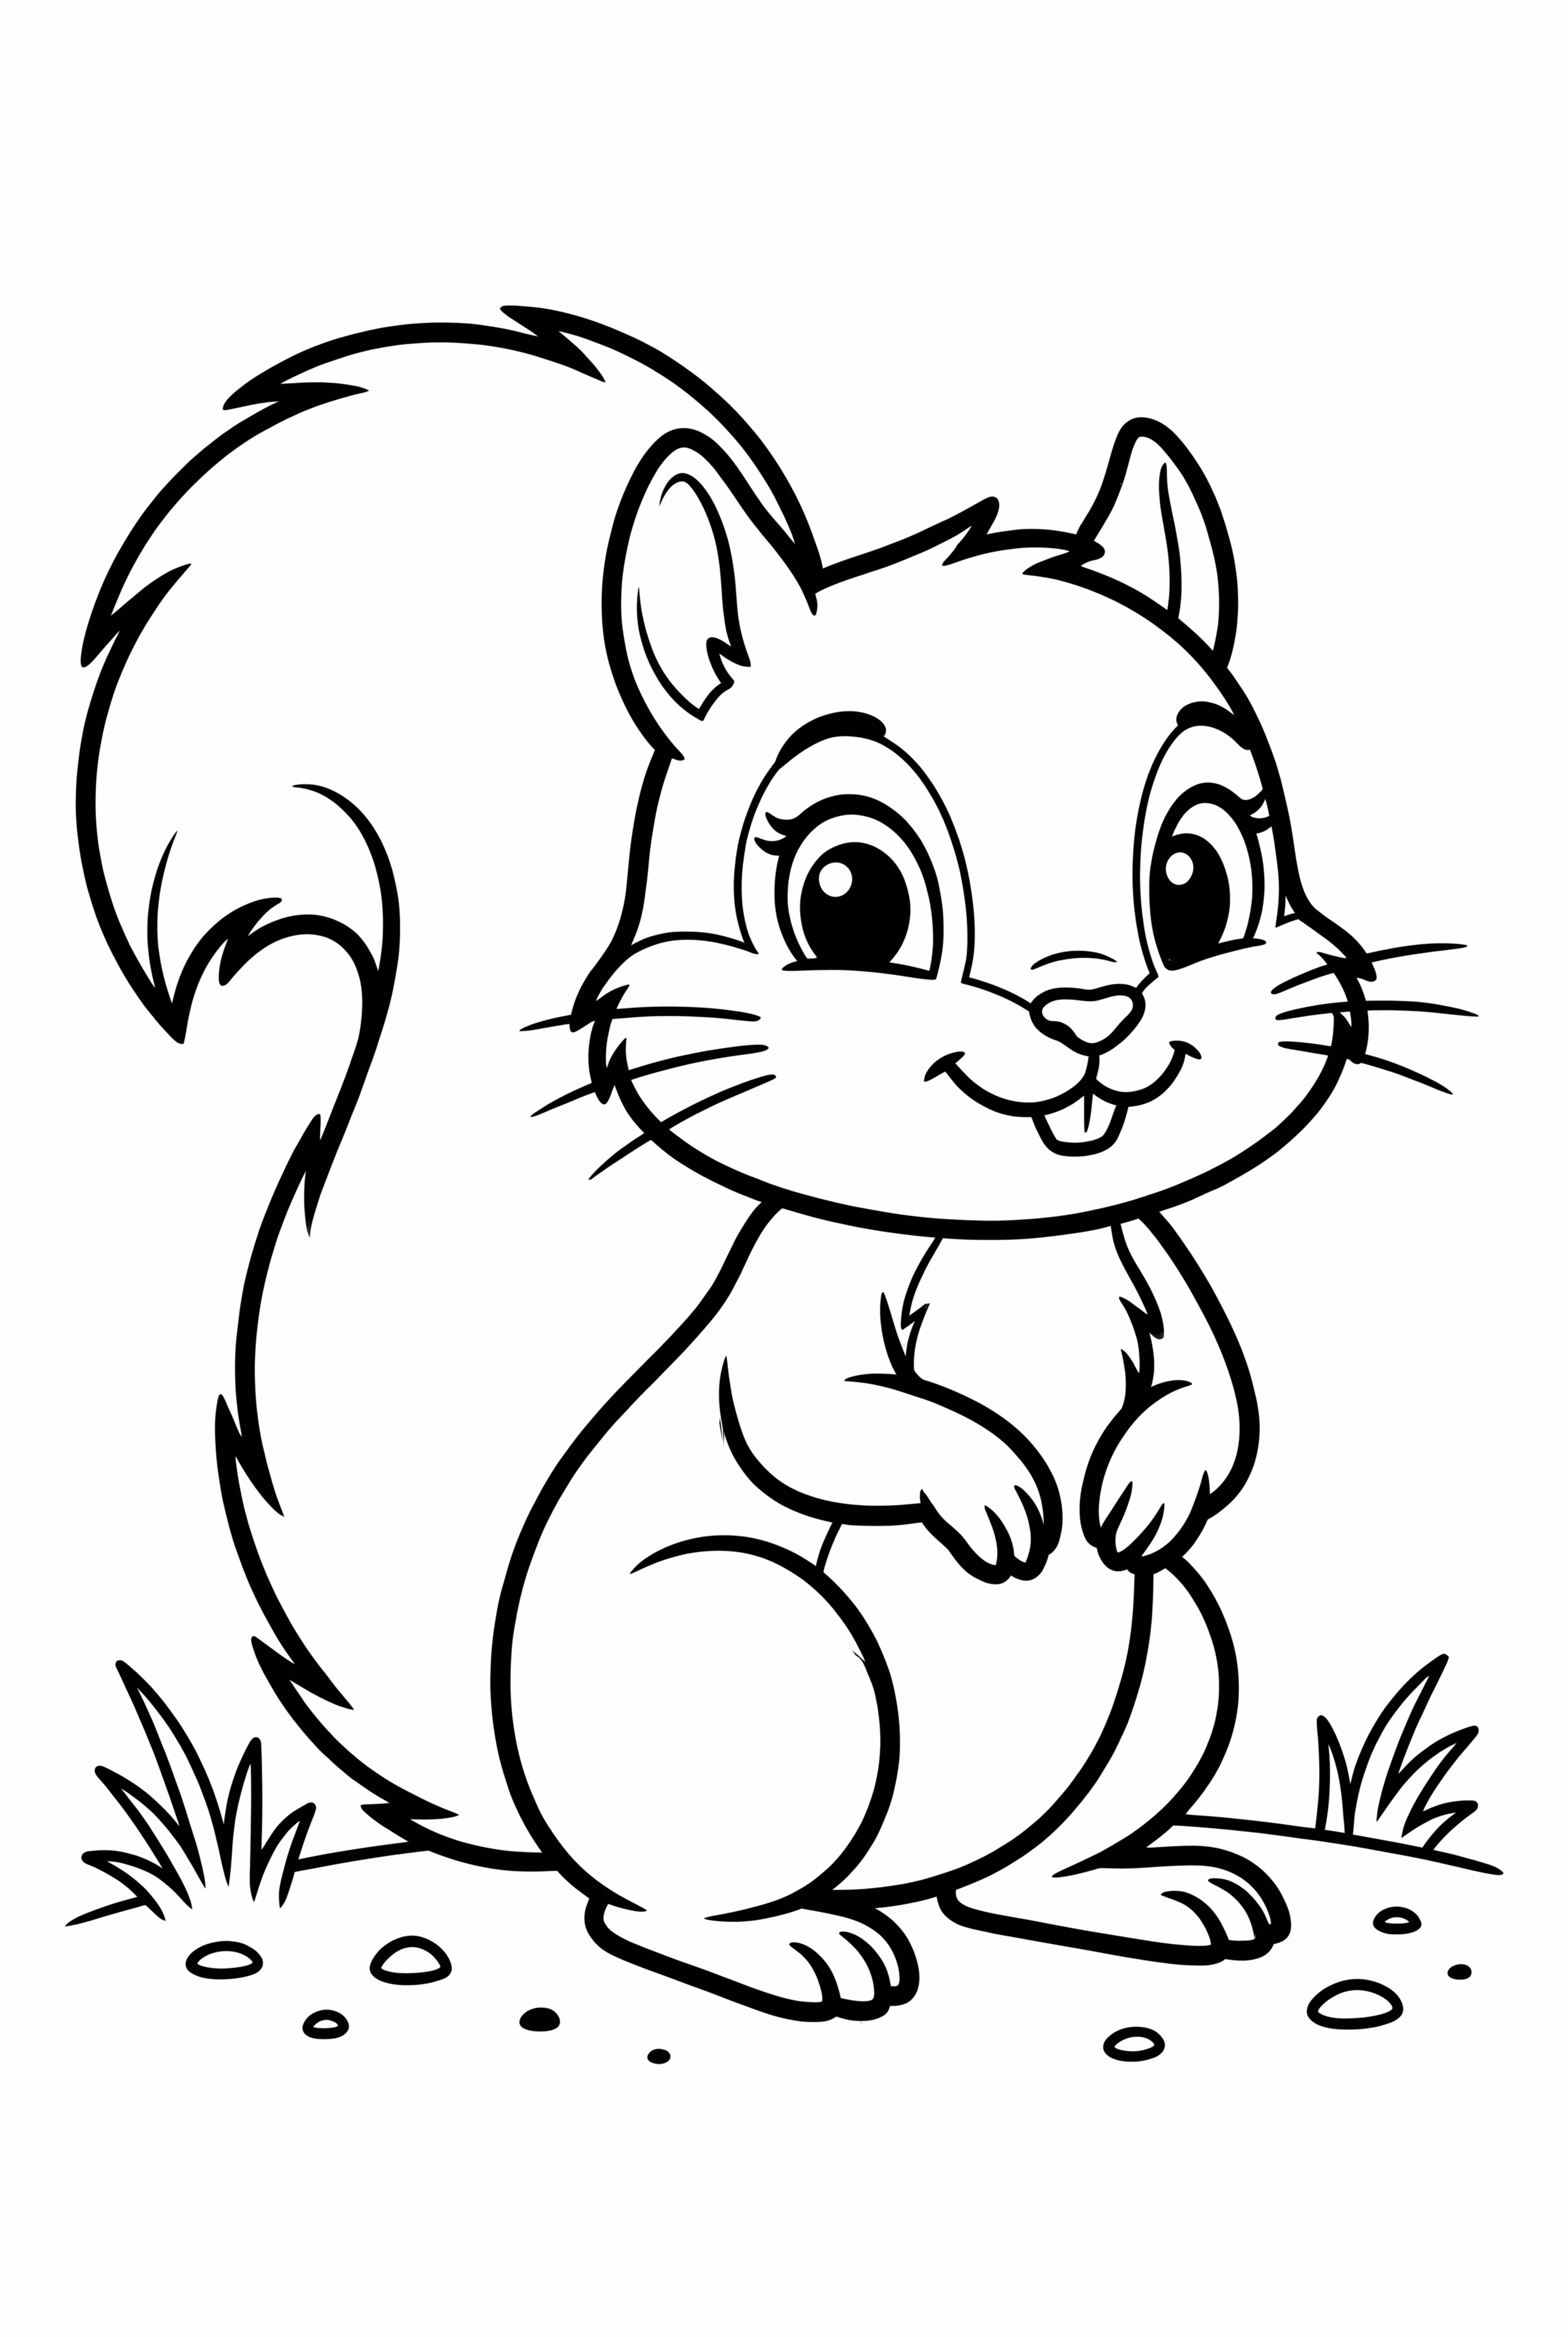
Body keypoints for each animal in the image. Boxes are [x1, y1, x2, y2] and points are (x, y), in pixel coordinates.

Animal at [79, 308, 1370, 2019]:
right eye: (849, 896)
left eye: (1201, 880)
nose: (1091, 1011)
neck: (1003, 1240)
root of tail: (533, 1791)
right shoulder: (797, 1301)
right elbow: (811, 1414)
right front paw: (995, 1489)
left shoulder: (1148, 1258)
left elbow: (1218, 1393)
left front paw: (1145, 1474)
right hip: (767, 1664)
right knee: (648, 1909)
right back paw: (794, 1941)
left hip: (1174, 1663)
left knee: (1013, 1872)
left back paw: (1134, 1886)